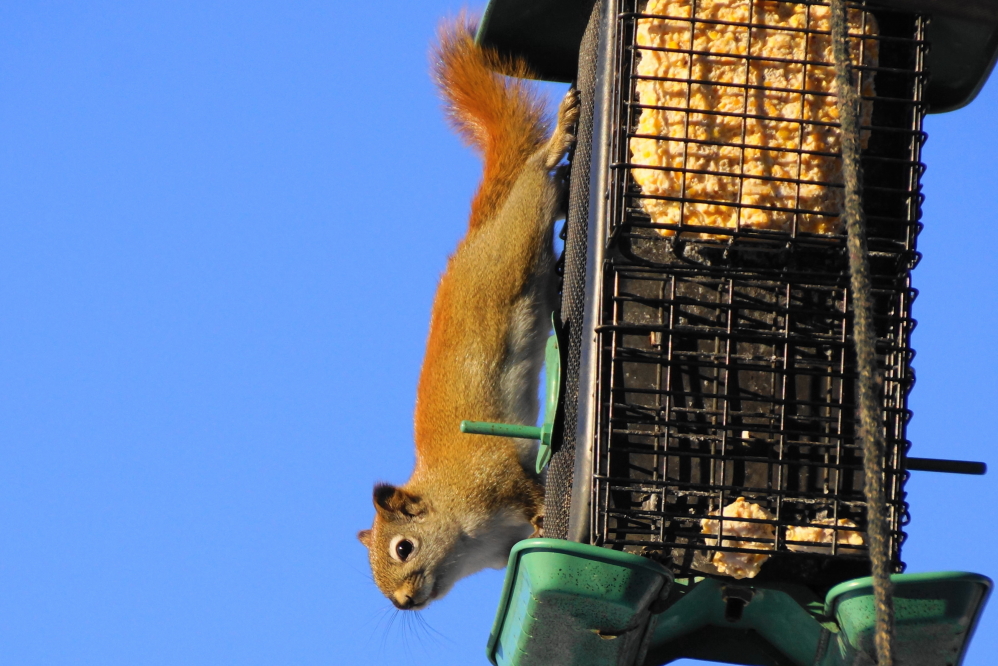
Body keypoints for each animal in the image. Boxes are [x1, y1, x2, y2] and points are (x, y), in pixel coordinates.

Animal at [357, 17, 579, 611]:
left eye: (403, 548)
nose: (403, 602)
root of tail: (476, 239)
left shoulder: (494, 475)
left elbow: (529, 489)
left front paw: (547, 512)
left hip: (511, 250)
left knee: (536, 183)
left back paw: (556, 144)